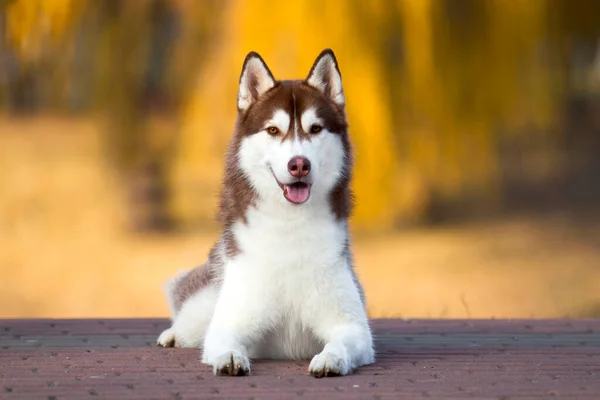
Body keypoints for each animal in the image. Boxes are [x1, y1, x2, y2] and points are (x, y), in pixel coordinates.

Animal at [159, 48, 376, 376]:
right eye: (273, 130)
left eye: (315, 129)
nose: (299, 164)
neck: (290, 225)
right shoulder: (229, 321)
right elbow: (224, 340)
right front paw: (231, 357)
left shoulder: (353, 326)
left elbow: (343, 341)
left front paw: (331, 358)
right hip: (208, 297)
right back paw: (173, 335)